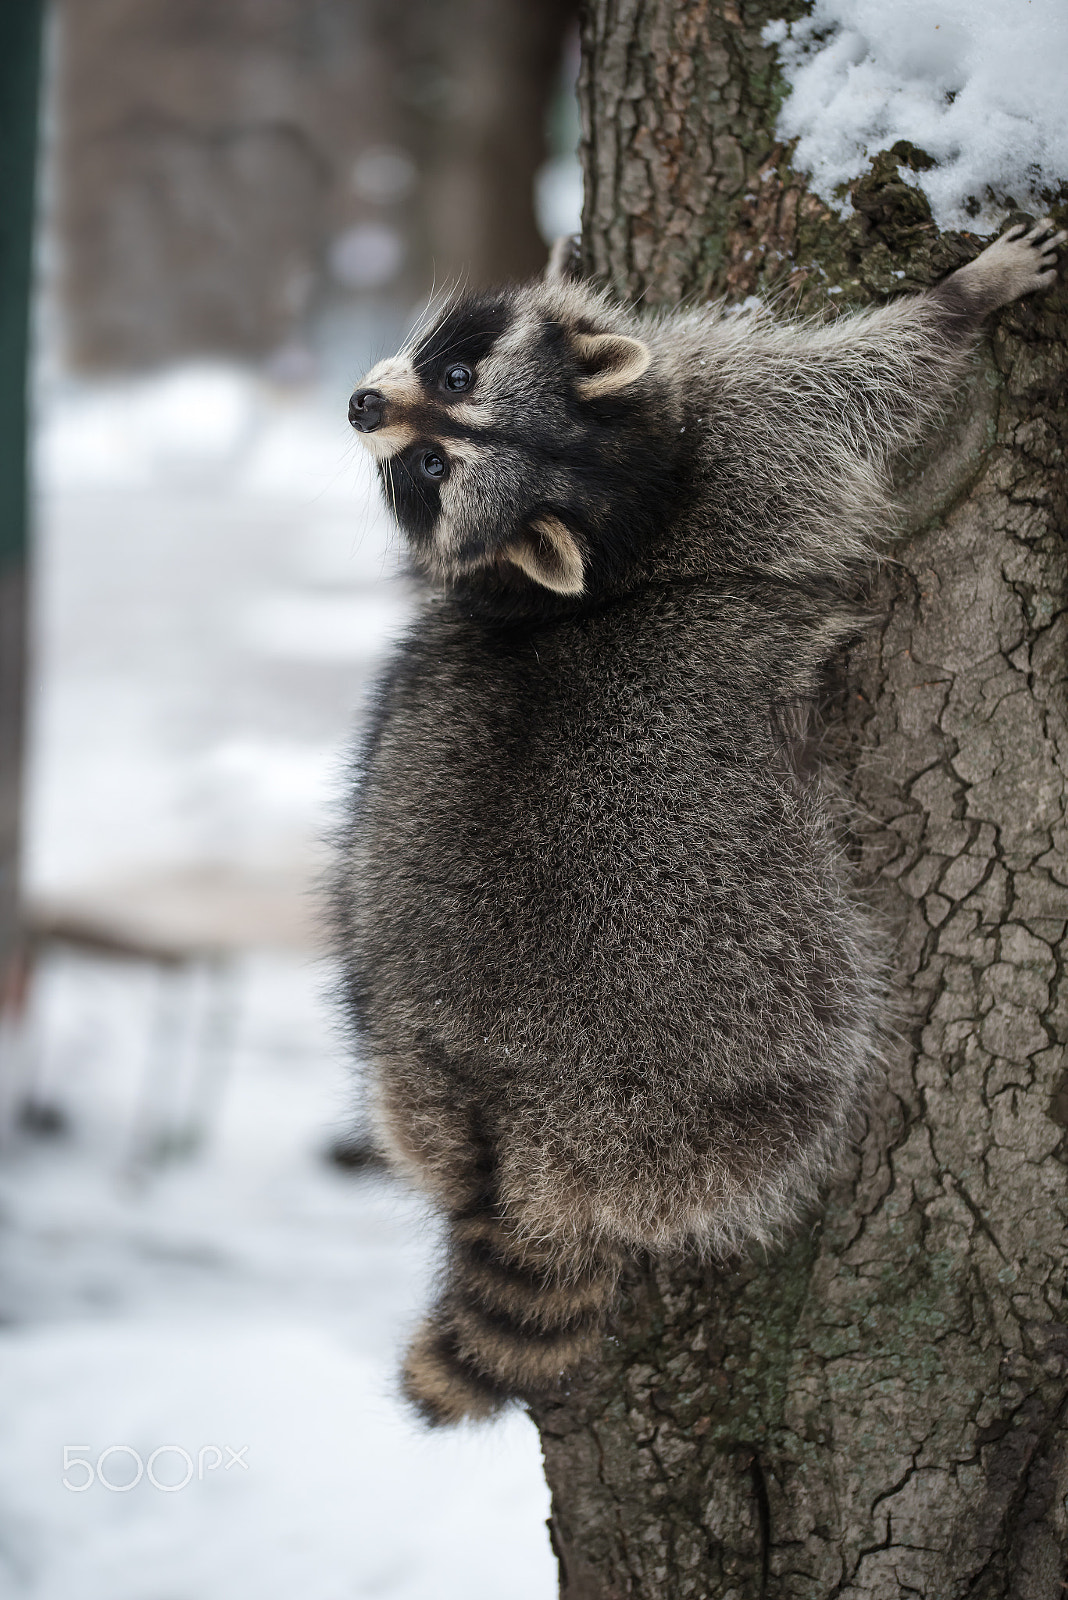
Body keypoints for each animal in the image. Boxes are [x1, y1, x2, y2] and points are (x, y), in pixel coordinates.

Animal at [337, 219, 1064, 1425]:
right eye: (431, 450)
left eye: (453, 391)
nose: (358, 405)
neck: (620, 499)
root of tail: (509, 1148)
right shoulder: (765, 437)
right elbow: (874, 380)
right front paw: (966, 296)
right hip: (747, 1049)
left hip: (396, 1036)